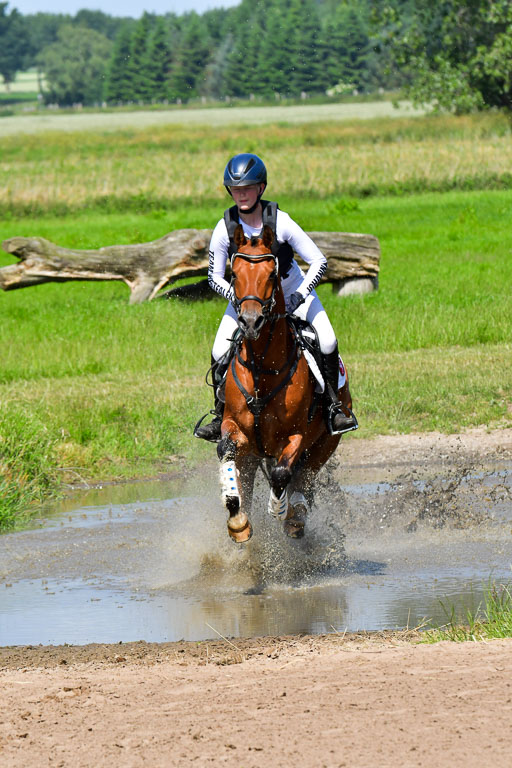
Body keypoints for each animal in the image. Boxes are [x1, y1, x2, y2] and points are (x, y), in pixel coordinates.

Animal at [217, 223, 344, 543]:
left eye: (271, 275)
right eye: (234, 274)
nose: (250, 322)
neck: (263, 369)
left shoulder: (295, 436)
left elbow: (281, 475)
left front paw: (278, 508)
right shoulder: (234, 428)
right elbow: (225, 450)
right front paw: (237, 520)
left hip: (325, 445)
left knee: (303, 479)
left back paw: (295, 515)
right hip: (252, 456)